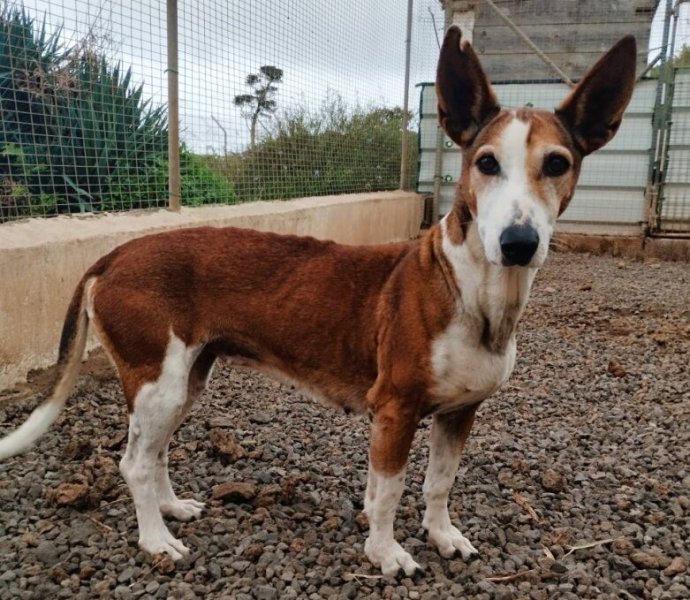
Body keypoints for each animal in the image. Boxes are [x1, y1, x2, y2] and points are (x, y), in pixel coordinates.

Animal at [0, 28, 636, 577]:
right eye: (486, 163)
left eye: (557, 164)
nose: (518, 242)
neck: (473, 289)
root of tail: (112, 254)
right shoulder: (395, 409)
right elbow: (390, 491)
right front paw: (386, 553)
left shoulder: (460, 412)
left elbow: (438, 483)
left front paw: (442, 535)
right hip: (158, 382)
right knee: (133, 462)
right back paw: (157, 539)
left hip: (185, 381)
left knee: (153, 455)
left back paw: (173, 508)